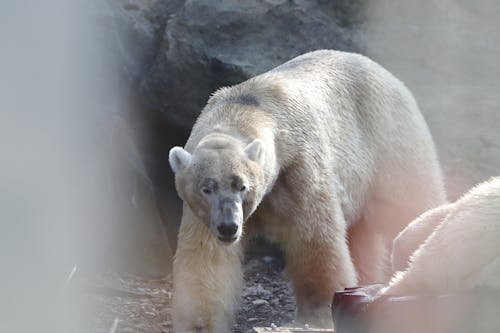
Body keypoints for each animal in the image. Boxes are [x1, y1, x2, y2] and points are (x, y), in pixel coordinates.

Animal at [168, 50, 446, 332]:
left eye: (242, 185)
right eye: (207, 188)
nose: (229, 227)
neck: (247, 106)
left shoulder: (298, 165)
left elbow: (314, 235)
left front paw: (318, 312)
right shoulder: (203, 213)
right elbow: (206, 256)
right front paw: (198, 324)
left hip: (389, 139)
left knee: (410, 199)